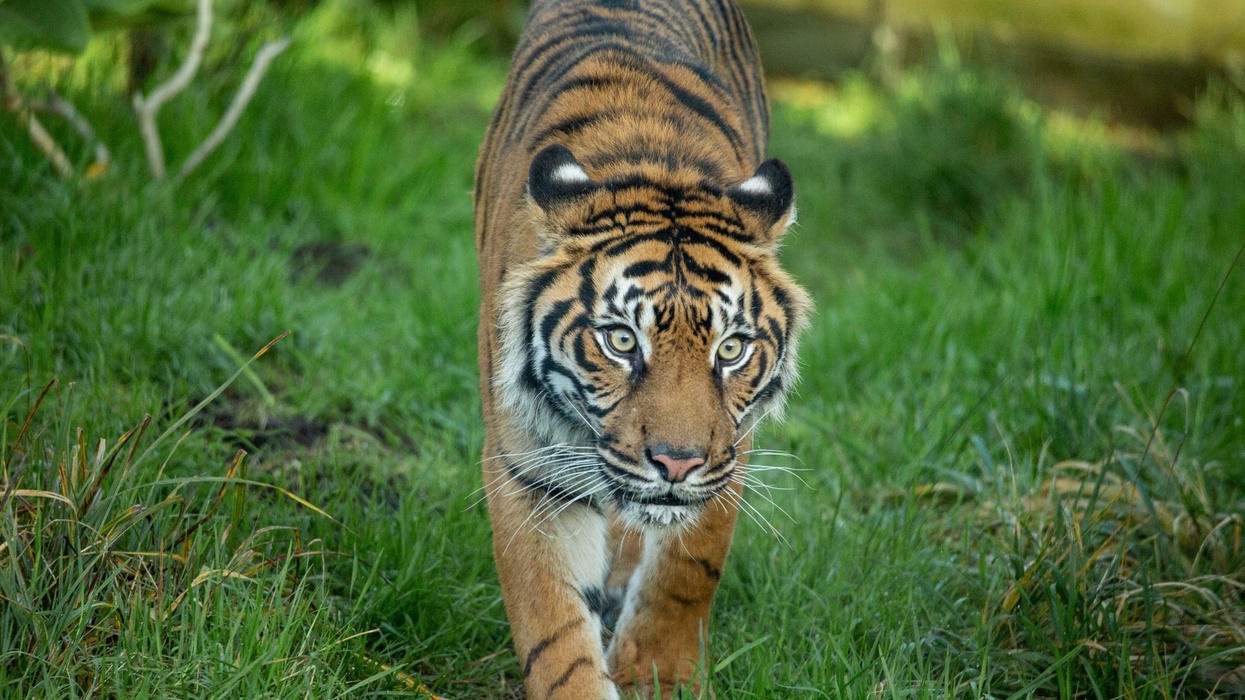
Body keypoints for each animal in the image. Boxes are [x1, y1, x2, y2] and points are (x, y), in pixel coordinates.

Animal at [473, 0, 811, 697]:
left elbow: (686, 570)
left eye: (731, 350)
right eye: (622, 341)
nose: (676, 464)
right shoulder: (530, 466)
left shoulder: (729, 449)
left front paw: (658, 674)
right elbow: (551, 621)